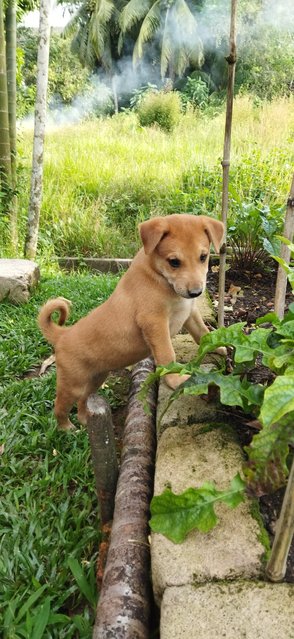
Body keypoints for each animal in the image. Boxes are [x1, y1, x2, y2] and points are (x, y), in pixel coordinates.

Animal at [38, 215, 223, 430]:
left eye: (203, 257)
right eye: (174, 262)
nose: (196, 292)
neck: (158, 276)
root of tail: (62, 335)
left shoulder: (190, 312)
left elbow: (203, 332)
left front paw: (220, 346)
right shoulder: (154, 322)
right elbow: (167, 355)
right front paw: (175, 380)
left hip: (95, 378)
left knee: (84, 400)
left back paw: (84, 420)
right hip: (72, 383)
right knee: (59, 405)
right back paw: (67, 429)